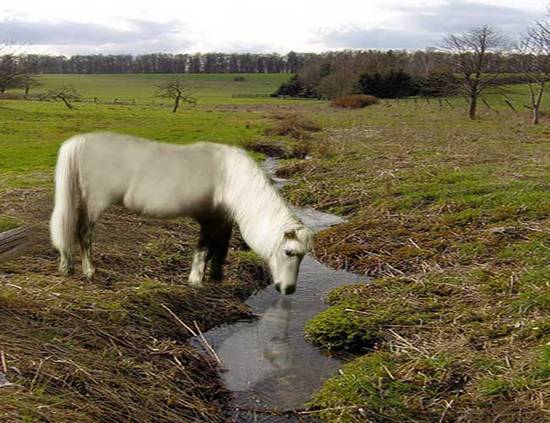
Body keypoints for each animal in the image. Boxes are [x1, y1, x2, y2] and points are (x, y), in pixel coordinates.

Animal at [50, 132, 314, 294]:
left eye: (303, 256)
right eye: (289, 252)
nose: (289, 290)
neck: (232, 179)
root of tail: (79, 142)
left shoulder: (223, 221)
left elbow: (220, 249)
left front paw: (216, 279)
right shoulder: (210, 219)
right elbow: (204, 249)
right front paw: (196, 281)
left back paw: (68, 267)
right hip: (95, 203)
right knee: (84, 234)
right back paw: (89, 272)